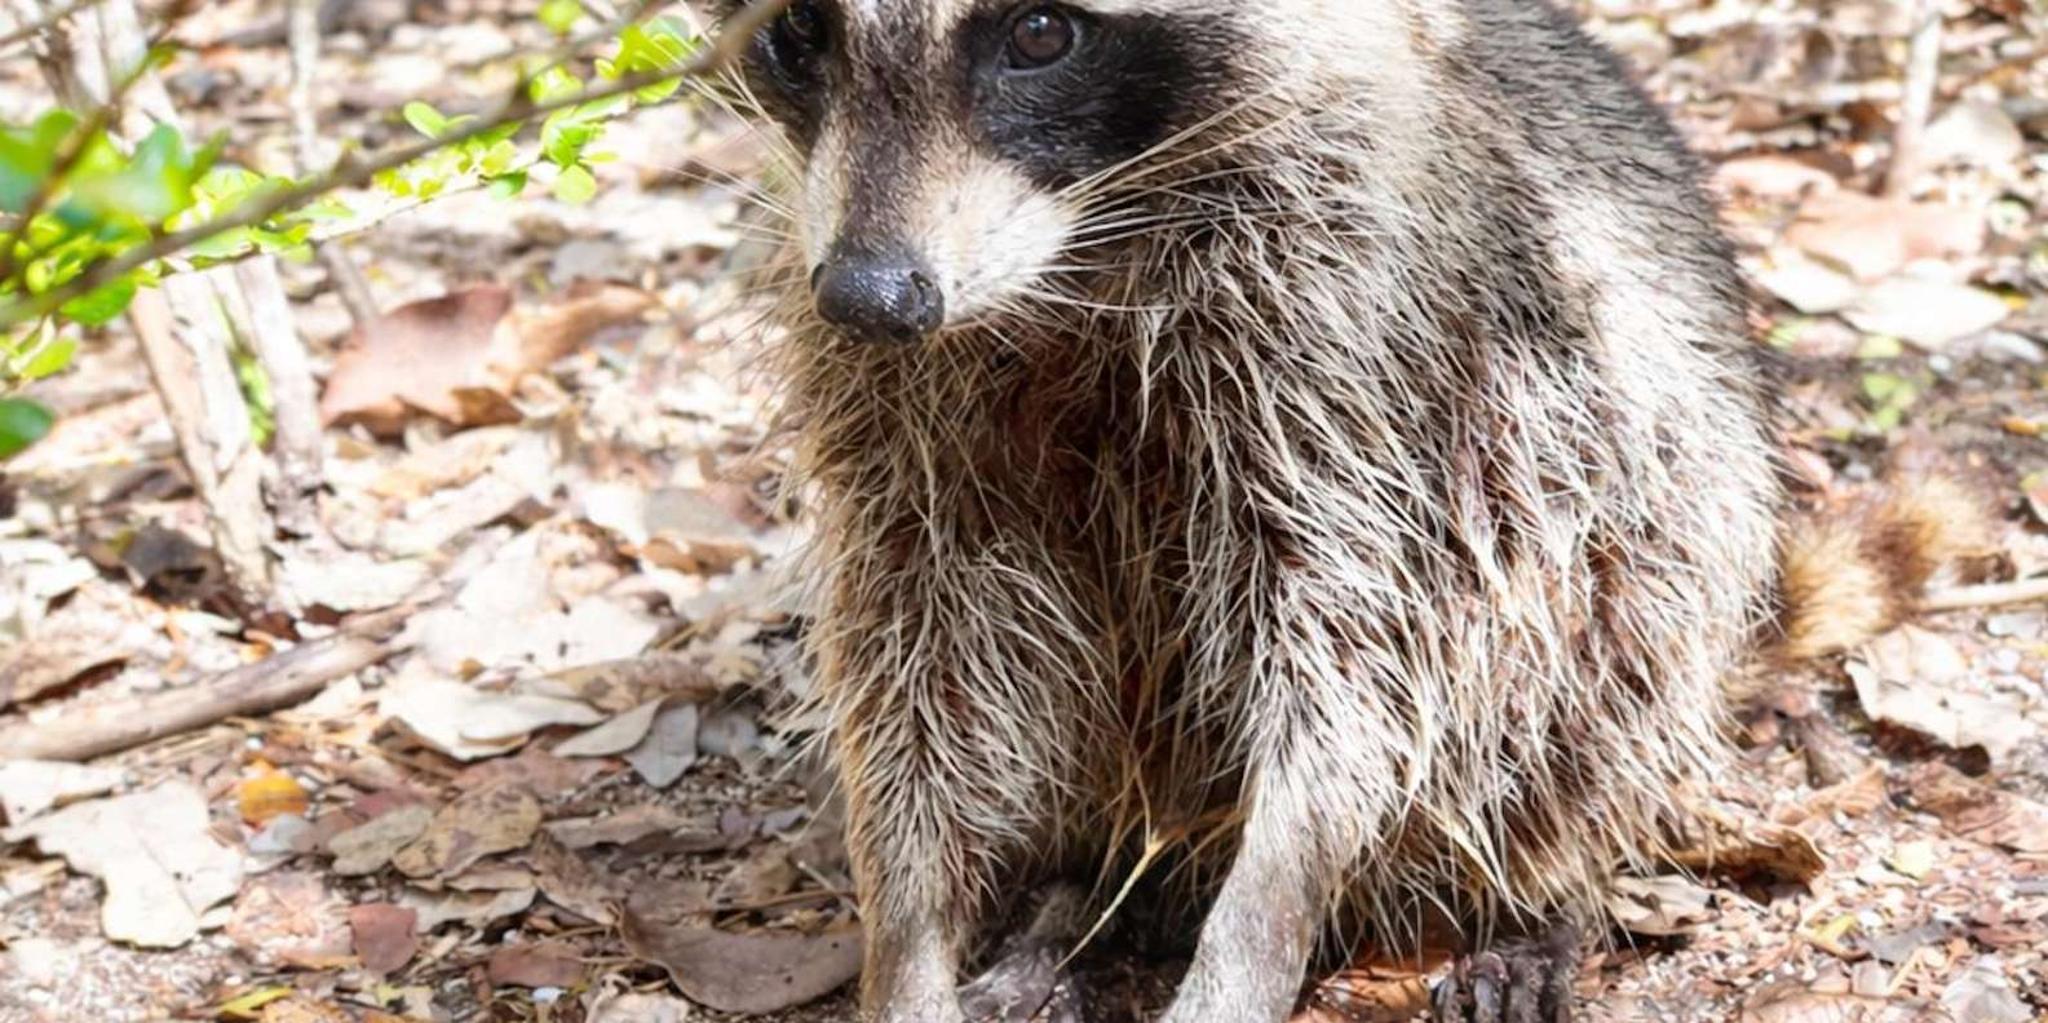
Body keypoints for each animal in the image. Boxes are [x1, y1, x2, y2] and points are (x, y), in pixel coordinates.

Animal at [702, 0, 1954, 1019]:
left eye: (1041, 32)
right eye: (800, 31)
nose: (872, 296)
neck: (1077, 261)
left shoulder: (1358, 330)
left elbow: (1363, 646)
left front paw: (1264, 913)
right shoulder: (888, 396)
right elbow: (917, 643)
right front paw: (909, 928)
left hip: (1654, 472)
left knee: (1594, 631)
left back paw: (1535, 893)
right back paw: (1067, 899)